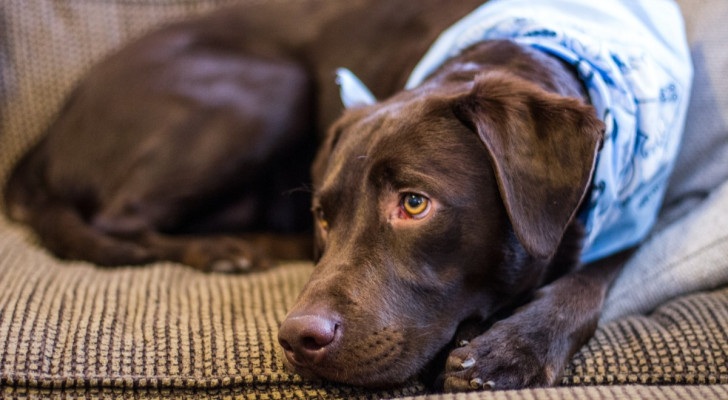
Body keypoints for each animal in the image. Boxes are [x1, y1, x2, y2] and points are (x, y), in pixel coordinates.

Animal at [2, 0, 684, 394]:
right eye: (323, 218)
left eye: (415, 204)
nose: (296, 338)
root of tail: (47, 135)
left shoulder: (643, 213)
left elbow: (588, 280)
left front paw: (512, 347)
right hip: (270, 85)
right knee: (119, 220)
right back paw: (228, 250)